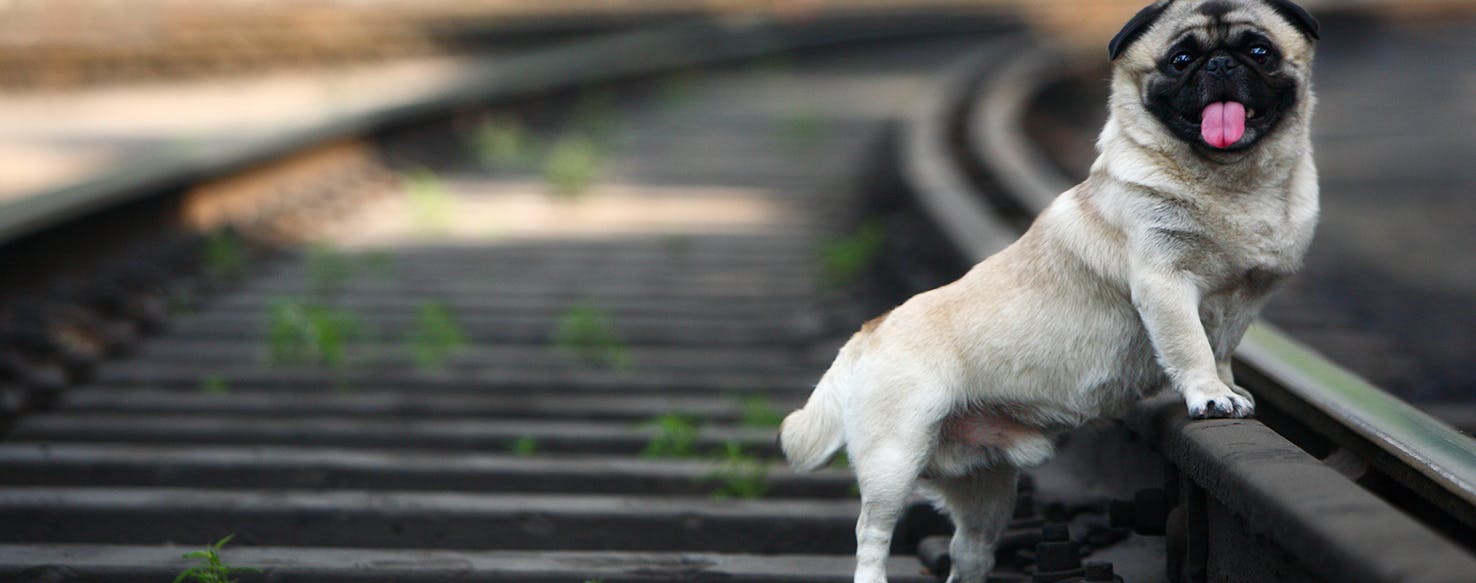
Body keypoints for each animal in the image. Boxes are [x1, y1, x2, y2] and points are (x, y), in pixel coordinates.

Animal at [779, 2, 1322, 581]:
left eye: (1260, 52)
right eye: (1180, 60)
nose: (1220, 63)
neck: (1230, 184)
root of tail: (871, 329)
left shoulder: (1239, 305)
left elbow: (1220, 347)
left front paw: (1229, 387)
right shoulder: (1164, 283)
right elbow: (1190, 346)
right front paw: (1209, 396)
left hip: (985, 491)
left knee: (969, 550)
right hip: (894, 458)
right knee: (872, 533)